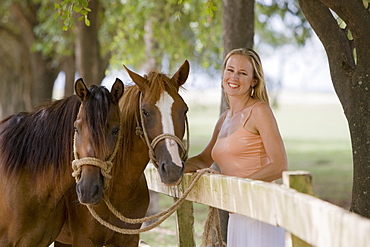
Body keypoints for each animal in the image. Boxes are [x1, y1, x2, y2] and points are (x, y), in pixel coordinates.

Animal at [56, 60, 189, 247]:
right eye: (145, 111)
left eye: (184, 110)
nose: (172, 169)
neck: (117, 189)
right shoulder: (85, 240)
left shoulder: (129, 239)